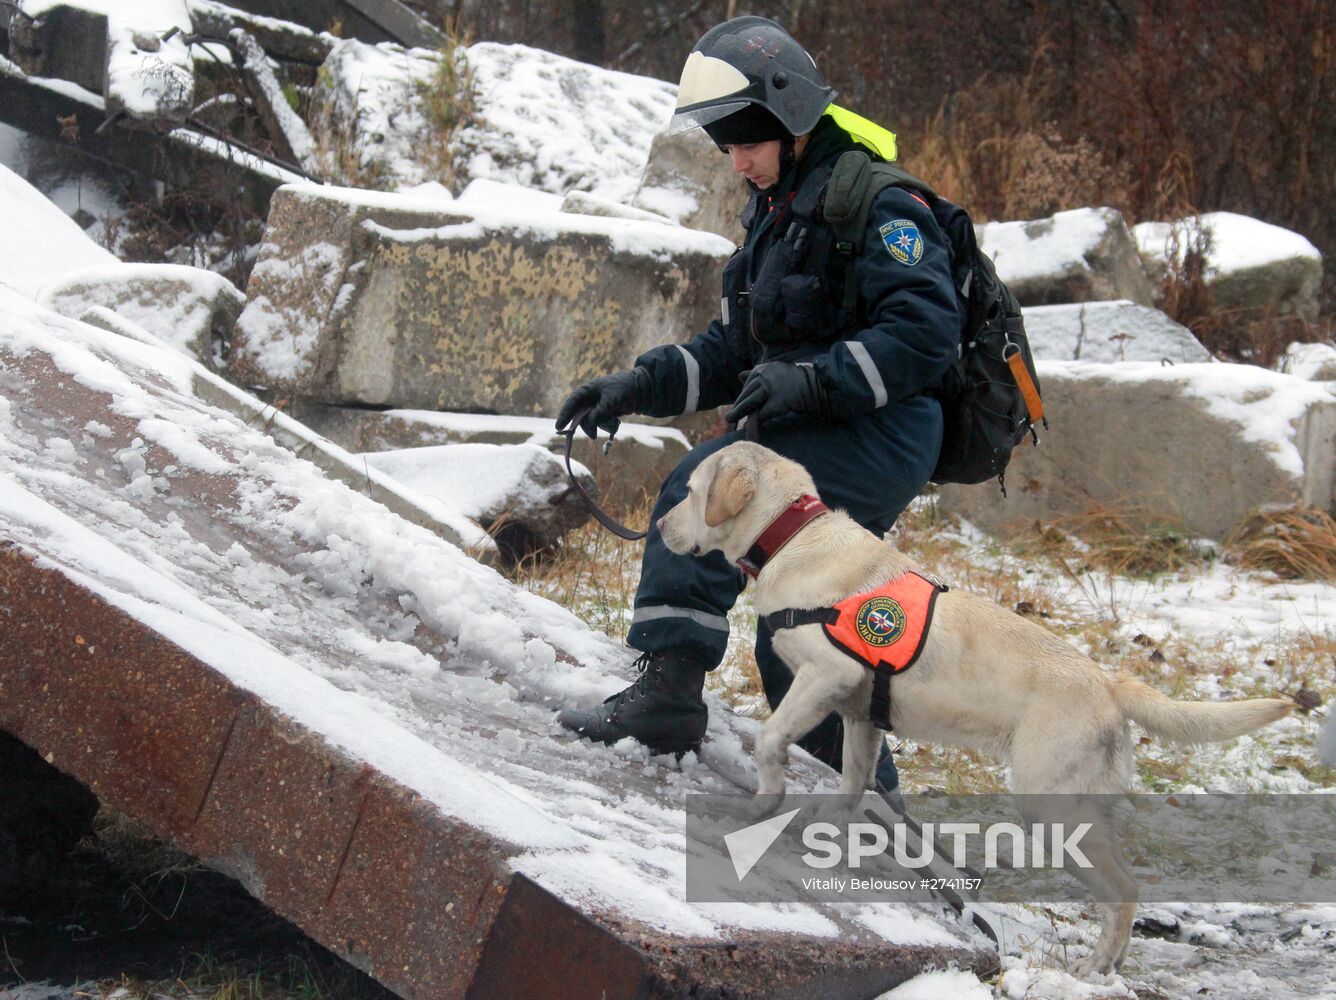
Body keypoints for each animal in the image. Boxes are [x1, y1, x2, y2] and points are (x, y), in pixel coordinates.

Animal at [657, 440, 1293, 971]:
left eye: (691, 490)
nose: (659, 525)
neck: (791, 537)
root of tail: (1111, 683)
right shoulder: (862, 715)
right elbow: (854, 785)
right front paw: (821, 824)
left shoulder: (825, 675)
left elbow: (771, 739)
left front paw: (764, 801)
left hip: (1052, 805)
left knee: (1125, 891)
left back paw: (1094, 968)